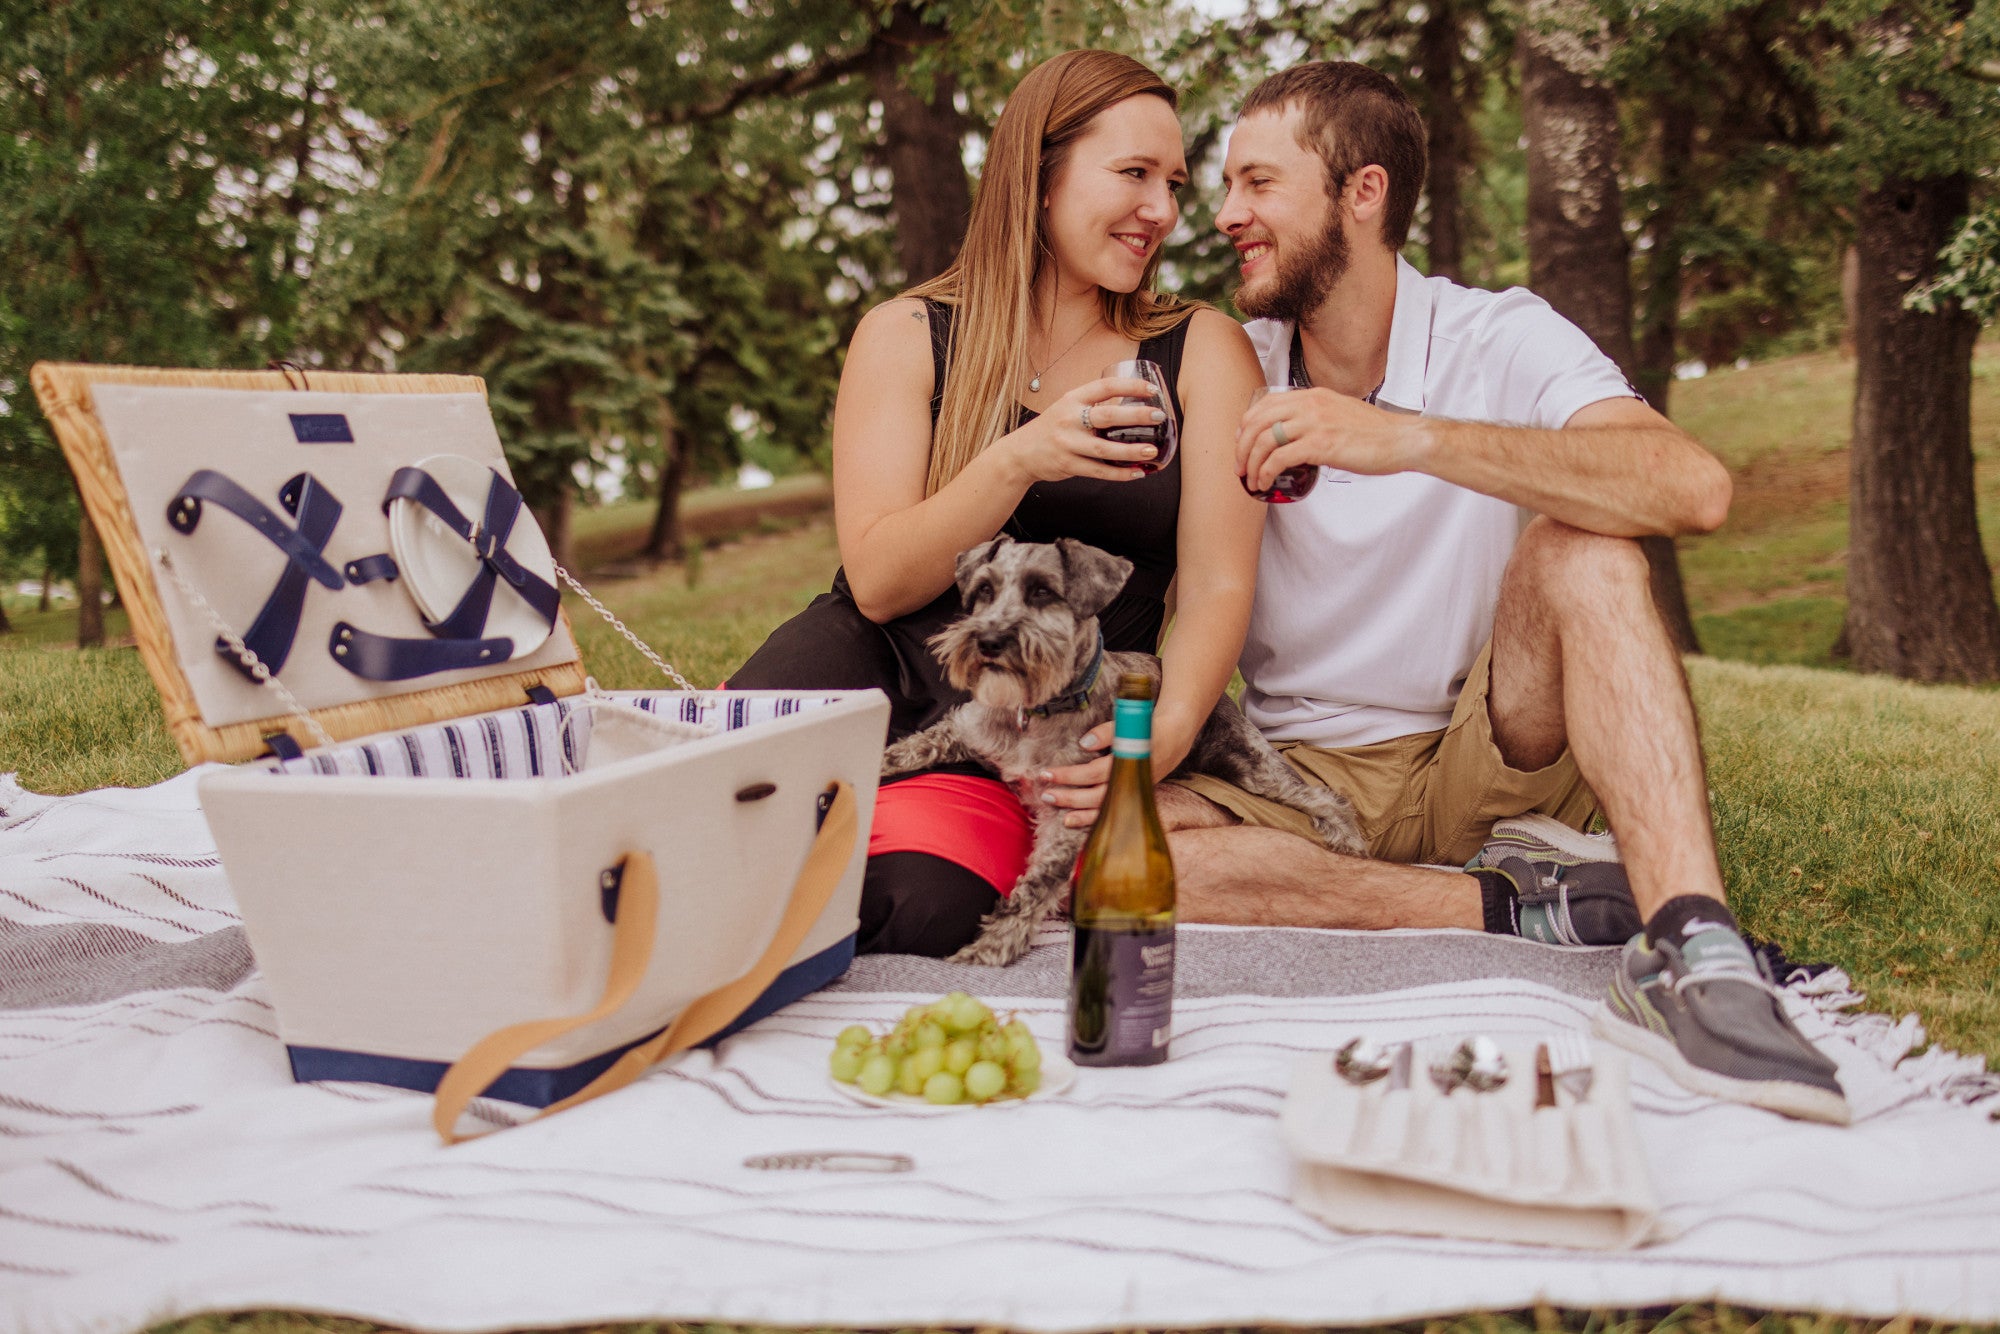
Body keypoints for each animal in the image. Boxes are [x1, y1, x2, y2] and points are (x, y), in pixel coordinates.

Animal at [884, 536, 1368, 972]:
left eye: (1042, 591)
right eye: (985, 589)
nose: (988, 640)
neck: (1035, 713)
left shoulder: (1068, 813)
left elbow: (1037, 885)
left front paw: (991, 948)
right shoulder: (960, 730)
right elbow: (905, 750)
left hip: (1252, 765)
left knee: (1320, 795)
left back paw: (1348, 839)